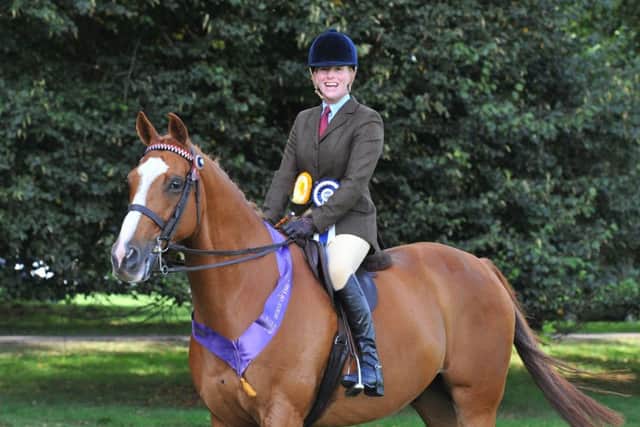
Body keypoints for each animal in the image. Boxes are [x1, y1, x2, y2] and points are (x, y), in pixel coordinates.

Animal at [111, 111, 624, 427]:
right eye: (132, 180)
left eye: (175, 184)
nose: (124, 258)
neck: (243, 296)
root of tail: (478, 265)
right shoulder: (223, 416)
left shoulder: (281, 413)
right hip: (435, 399)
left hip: (476, 399)